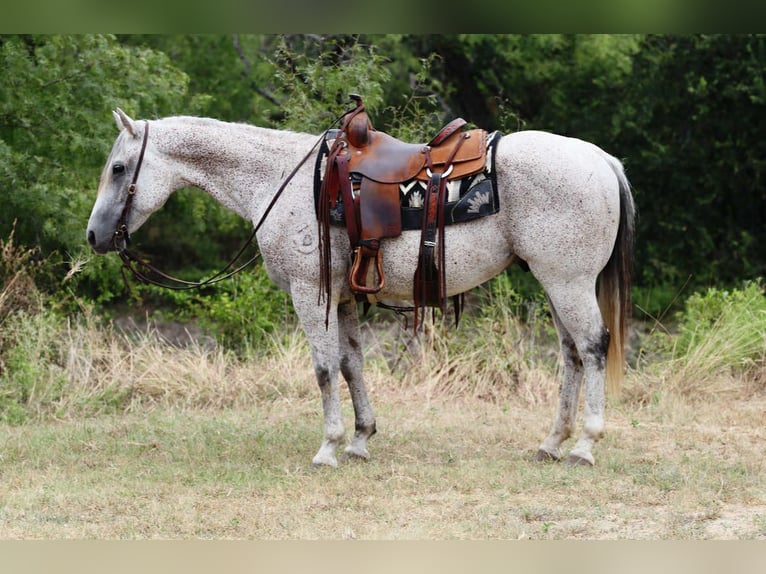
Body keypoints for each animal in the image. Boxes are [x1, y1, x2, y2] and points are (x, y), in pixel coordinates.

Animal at [86, 108, 635, 467]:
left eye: (118, 168)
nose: (94, 236)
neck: (279, 181)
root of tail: (604, 160)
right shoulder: (344, 296)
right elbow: (352, 364)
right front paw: (360, 440)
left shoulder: (310, 293)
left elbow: (324, 369)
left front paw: (328, 447)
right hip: (555, 283)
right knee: (570, 354)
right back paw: (552, 442)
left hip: (568, 283)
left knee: (592, 347)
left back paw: (584, 445)